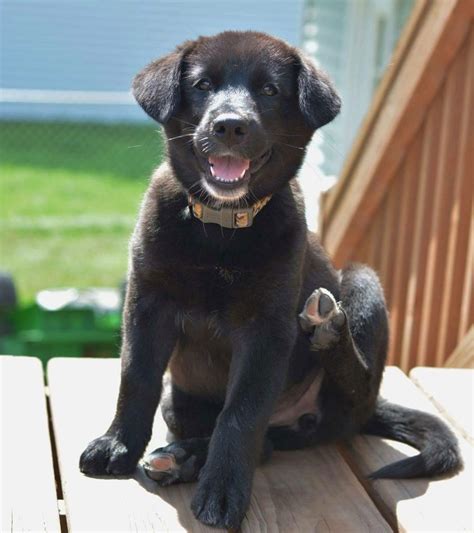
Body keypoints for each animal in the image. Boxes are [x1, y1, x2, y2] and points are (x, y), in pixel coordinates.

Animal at [79, 32, 462, 528]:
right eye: (203, 85)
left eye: (269, 91)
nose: (230, 127)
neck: (220, 229)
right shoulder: (147, 303)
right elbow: (136, 377)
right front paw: (118, 446)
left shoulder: (265, 330)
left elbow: (240, 415)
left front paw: (223, 491)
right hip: (179, 403)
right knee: (265, 444)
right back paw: (182, 459)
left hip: (361, 285)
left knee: (340, 395)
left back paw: (328, 331)